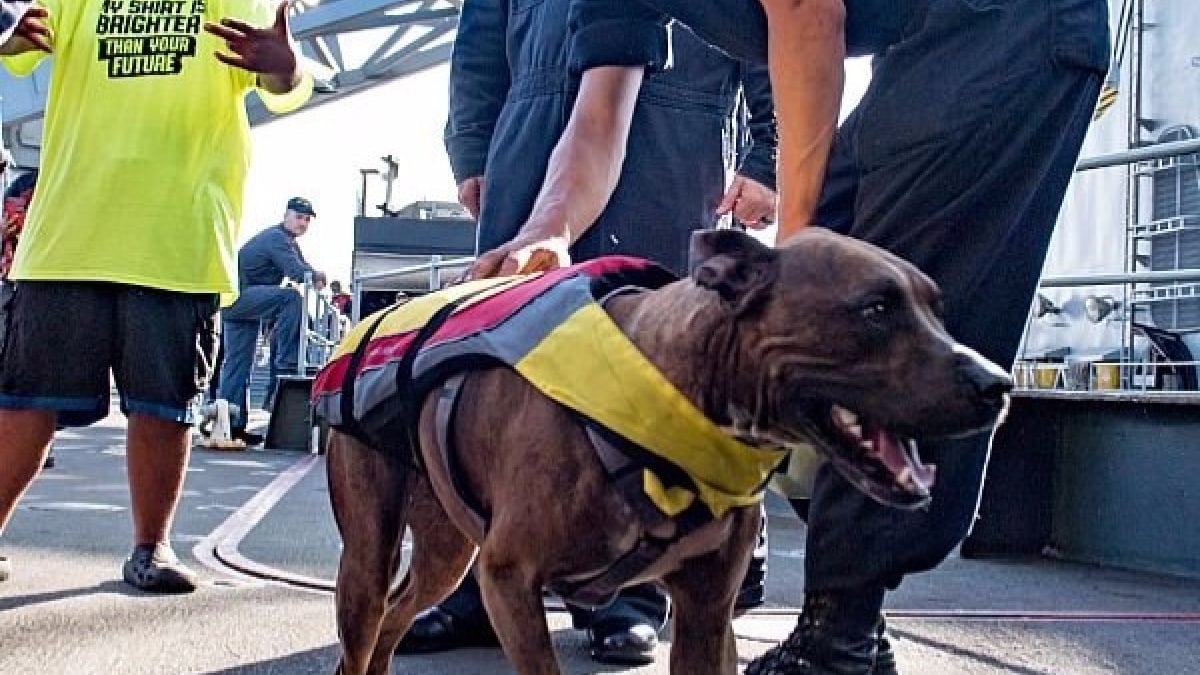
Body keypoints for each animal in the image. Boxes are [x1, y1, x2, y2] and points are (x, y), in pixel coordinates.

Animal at [321, 228, 1012, 667]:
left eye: (937, 310)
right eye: (875, 309)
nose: (998, 384)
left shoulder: (706, 612)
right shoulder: (509, 580)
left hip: (445, 552)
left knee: (398, 615)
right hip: (371, 559)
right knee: (369, 624)